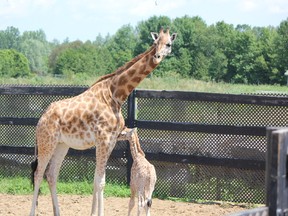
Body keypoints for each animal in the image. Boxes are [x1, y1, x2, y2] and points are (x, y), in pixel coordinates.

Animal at [30, 27, 177, 216]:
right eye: (155, 42)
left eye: (169, 44)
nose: (157, 56)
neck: (116, 95)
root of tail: (41, 118)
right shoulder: (103, 140)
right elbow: (100, 182)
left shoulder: (111, 141)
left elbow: (100, 180)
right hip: (46, 142)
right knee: (38, 174)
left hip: (61, 145)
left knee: (51, 174)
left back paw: (58, 212)